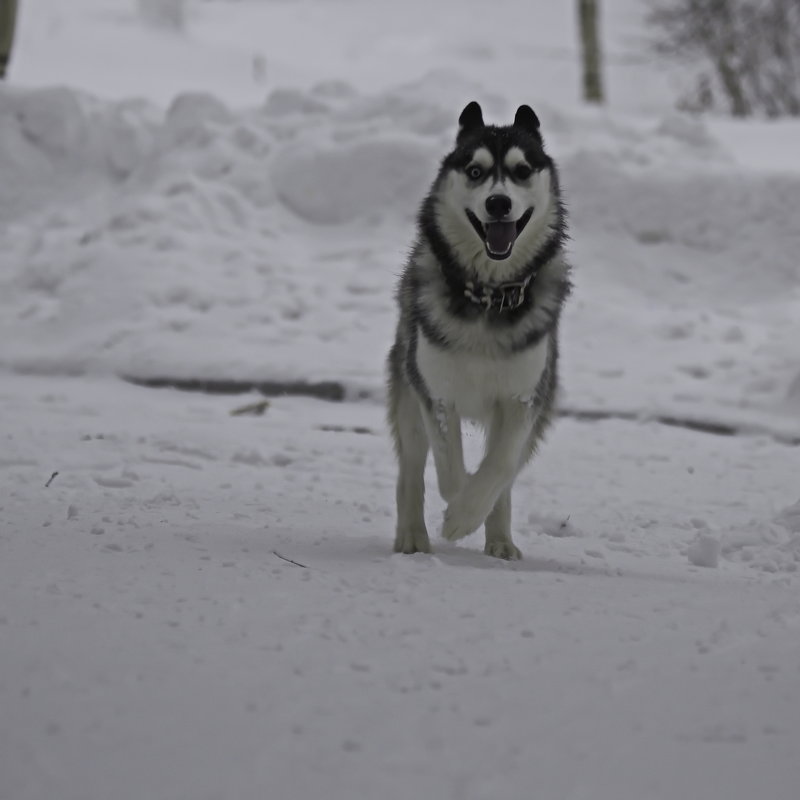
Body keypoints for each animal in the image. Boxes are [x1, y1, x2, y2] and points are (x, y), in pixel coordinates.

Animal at [386, 100, 568, 560]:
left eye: (522, 171)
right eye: (474, 170)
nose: (498, 203)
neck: (488, 296)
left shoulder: (525, 397)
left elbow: (500, 465)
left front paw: (467, 516)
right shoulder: (433, 389)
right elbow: (448, 464)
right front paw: (456, 513)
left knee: (505, 473)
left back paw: (500, 540)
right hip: (405, 383)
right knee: (411, 465)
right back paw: (412, 535)